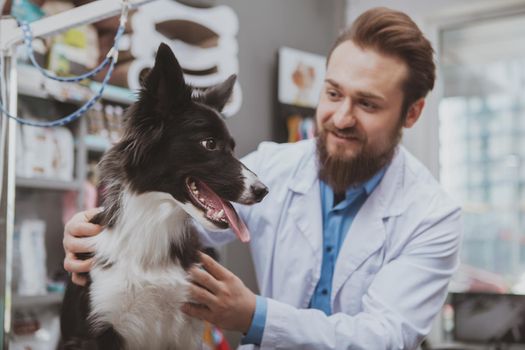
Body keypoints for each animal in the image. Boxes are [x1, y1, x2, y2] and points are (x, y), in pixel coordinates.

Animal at [59, 43, 268, 350]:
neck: (153, 226)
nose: (263, 190)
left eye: (232, 147)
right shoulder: (96, 330)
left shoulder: (186, 330)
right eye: (209, 144)